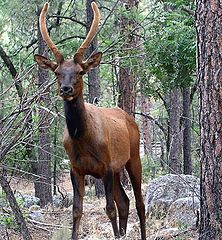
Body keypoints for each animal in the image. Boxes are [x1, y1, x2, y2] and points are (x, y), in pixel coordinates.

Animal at [34, 2, 146, 240]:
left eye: (80, 71)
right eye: (57, 72)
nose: (65, 89)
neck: (82, 138)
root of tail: (129, 117)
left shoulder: (106, 166)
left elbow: (109, 209)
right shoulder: (76, 169)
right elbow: (77, 210)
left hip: (133, 157)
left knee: (139, 203)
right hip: (118, 169)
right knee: (125, 202)